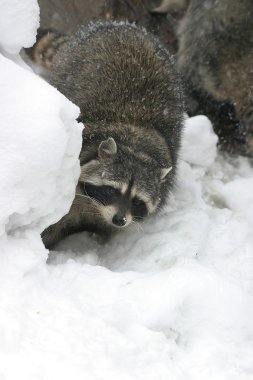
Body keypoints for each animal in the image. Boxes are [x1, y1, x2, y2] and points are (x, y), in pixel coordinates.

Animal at [34, 20, 184, 248]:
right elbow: (53, 222)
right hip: (69, 63)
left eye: (137, 201)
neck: (133, 144)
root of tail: (121, 24)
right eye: (112, 190)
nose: (119, 220)